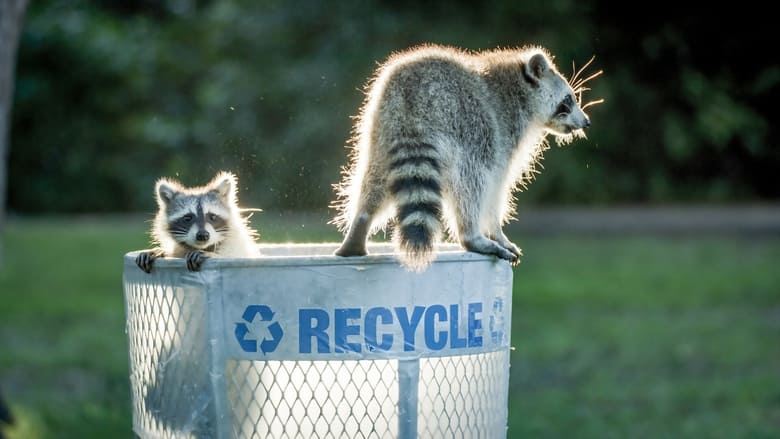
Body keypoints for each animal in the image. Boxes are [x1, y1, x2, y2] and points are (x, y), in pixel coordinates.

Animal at [332, 45, 600, 272]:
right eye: (568, 100)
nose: (586, 122)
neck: (520, 87)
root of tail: (412, 96)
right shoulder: (504, 131)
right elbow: (495, 188)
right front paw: (496, 231)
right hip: (464, 122)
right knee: (473, 178)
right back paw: (471, 235)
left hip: (380, 128)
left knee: (374, 180)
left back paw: (360, 224)